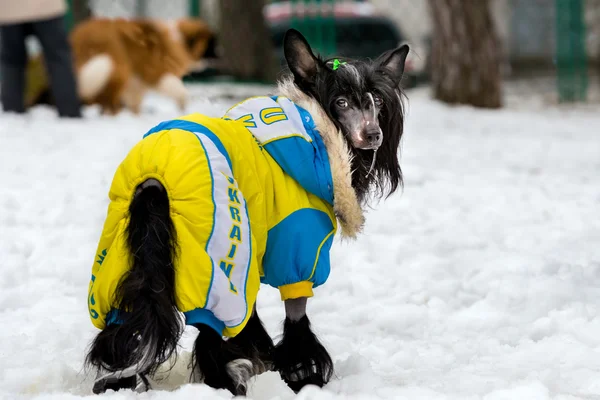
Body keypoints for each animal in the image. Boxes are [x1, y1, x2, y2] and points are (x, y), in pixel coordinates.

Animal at [84, 29, 408, 396]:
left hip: (122, 256)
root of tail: (154, 182)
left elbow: (251, 315)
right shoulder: (297, 249)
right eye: (340, 102)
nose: (373, 134)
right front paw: (302, 376)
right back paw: (225, 382)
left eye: (377, 101)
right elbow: (296, 318)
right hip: (223, 249)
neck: (313, 125)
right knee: (210, 333)